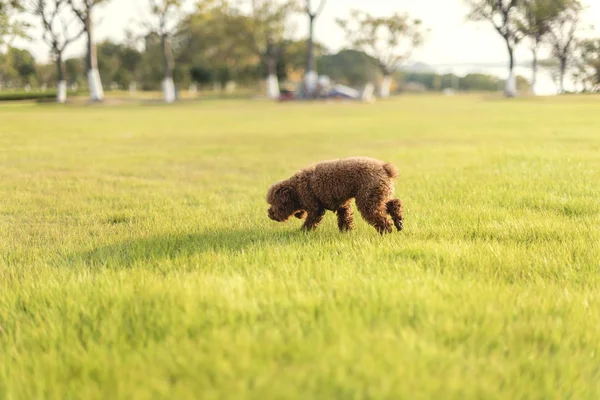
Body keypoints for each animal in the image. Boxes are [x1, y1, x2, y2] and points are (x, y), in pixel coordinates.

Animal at [266, 157, 404, 234]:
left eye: (274, 203)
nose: (269, 214)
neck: (296, 189)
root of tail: (385, 168)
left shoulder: (314, 207)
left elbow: (310, 221)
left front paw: (302, 232)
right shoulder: (343, 205)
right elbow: (345, 218)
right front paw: (346, 232)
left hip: (368, 198)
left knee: (380, 217)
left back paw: (386, 231)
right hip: (379, 195)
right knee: (394, 203)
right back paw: (399, 222)